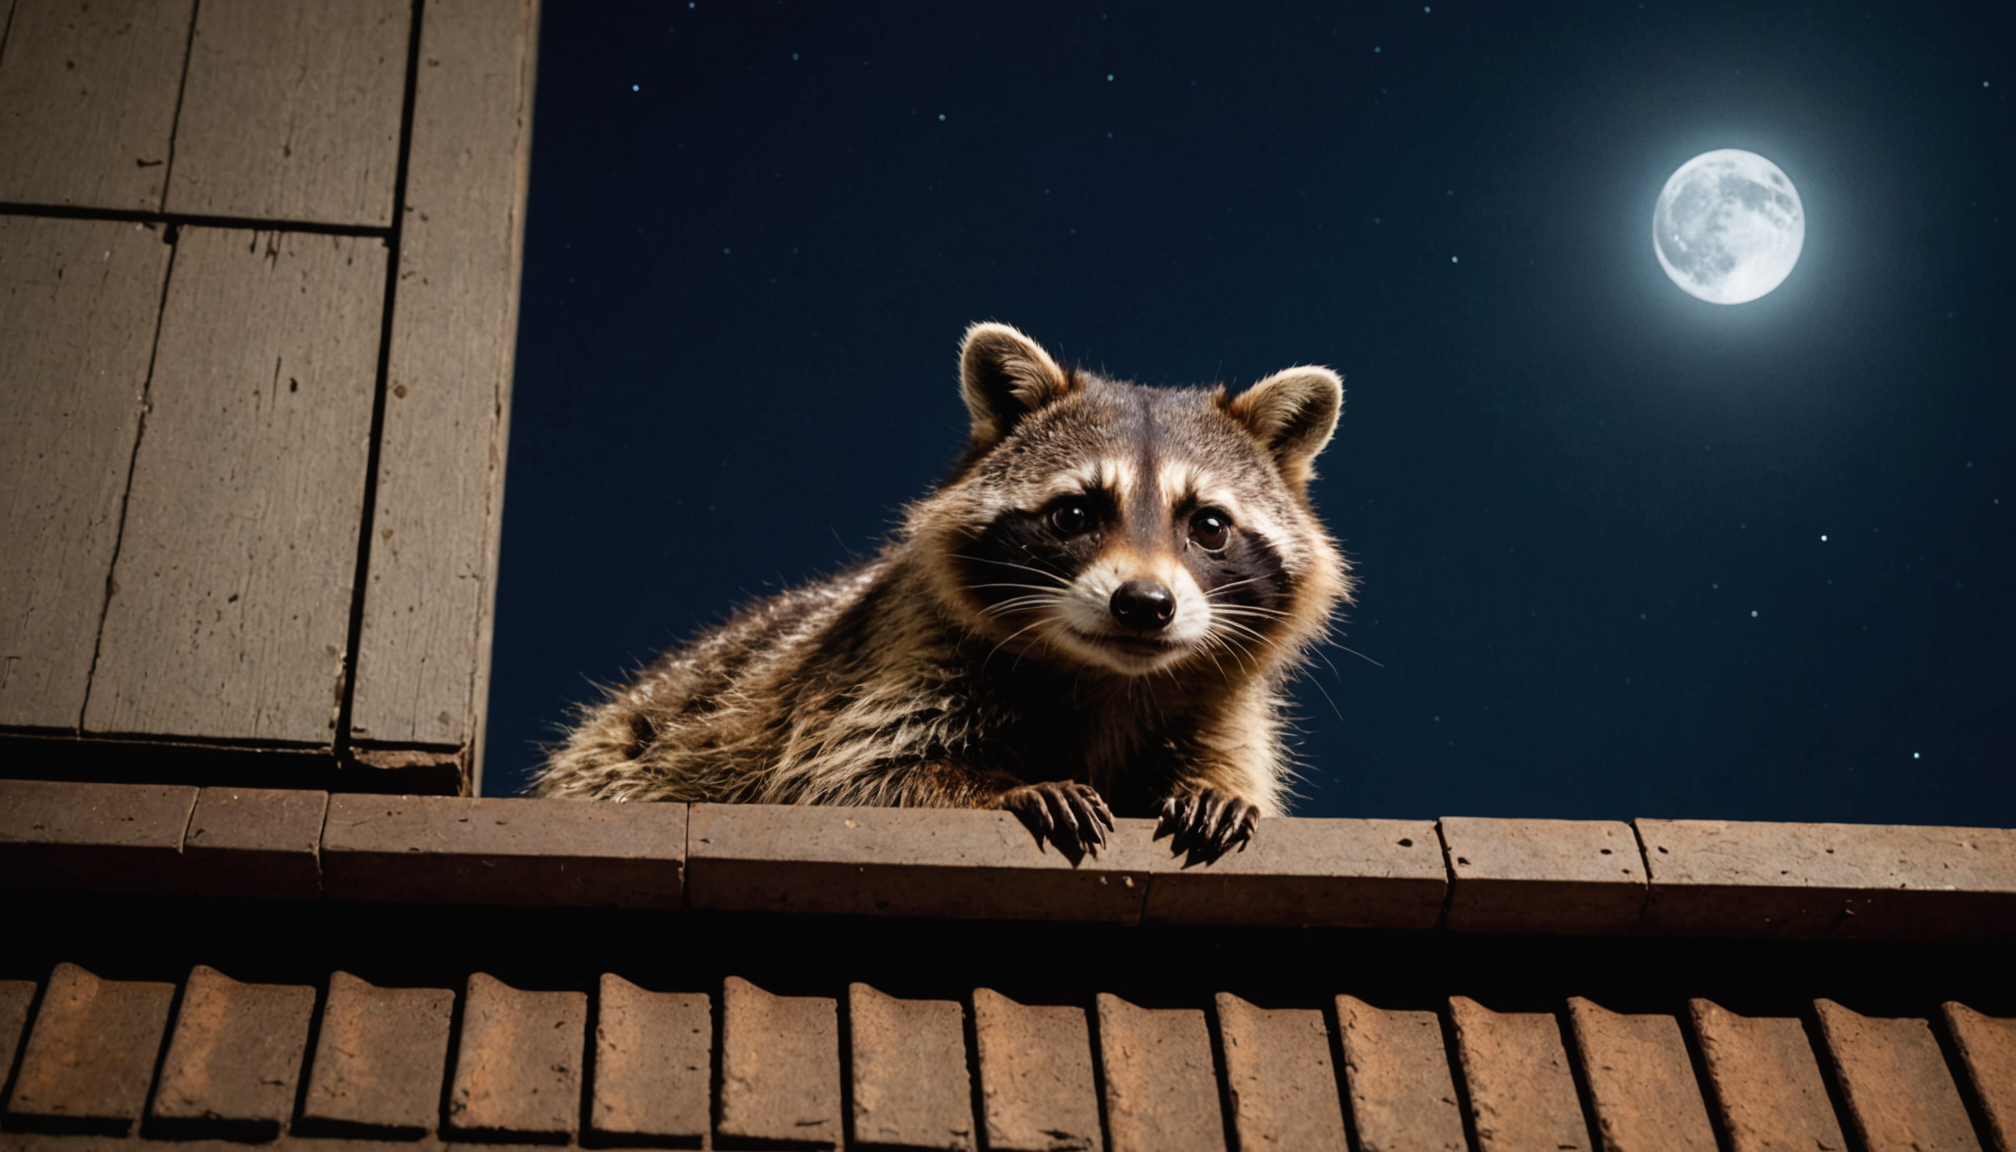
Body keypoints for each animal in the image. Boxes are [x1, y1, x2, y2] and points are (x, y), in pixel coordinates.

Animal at [532, 323, 1351, 863]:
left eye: (1208, 526)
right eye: (1074, 514)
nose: (1144, 605)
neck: (1106, 677)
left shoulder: (1223, 702)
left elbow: (1234, 765)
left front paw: (1218, 790)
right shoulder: (895, 653)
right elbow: (849, 779)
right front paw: (1002, 787)